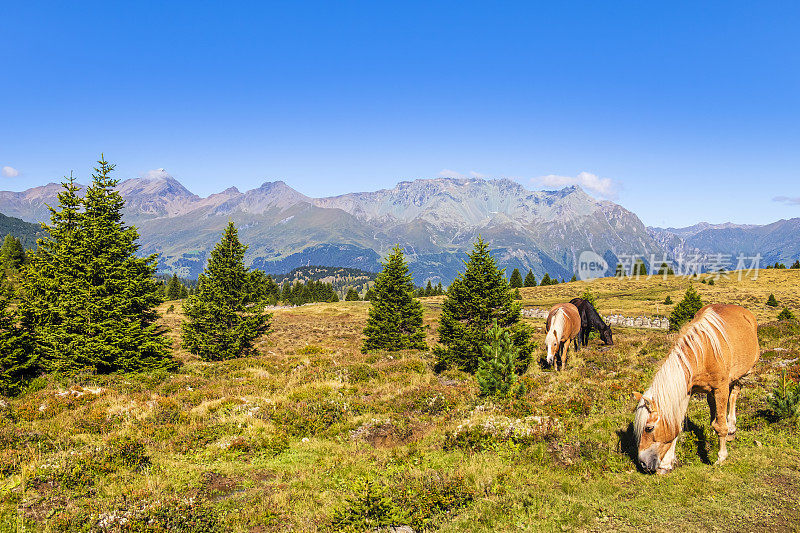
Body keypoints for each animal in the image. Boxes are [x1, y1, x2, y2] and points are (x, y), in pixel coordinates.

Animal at [636, 304, 760, 474]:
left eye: (649, 428)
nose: (643, 463)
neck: (704, 353)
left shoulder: (720, 388)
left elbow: (721, 425)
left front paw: (721, 457)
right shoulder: (686, 391)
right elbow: (677, 424)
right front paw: (666, 464)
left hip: (741, 375)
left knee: (734, 395)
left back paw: (731, 428)